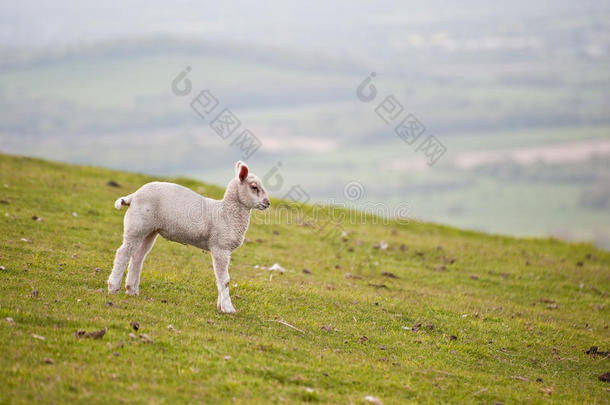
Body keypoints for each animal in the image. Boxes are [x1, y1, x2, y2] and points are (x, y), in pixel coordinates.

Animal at [106, 160, 268, 312]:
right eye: (254, 187)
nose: (268, 203)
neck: (225, 212)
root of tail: (133, 196)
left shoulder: (221, 250)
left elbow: (219, 278)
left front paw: (220, 306)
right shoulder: (220, 247)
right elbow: (225, 280)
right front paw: (228, 308)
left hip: (150, 230)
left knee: (138, 257)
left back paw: (132, 290)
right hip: (137, 225)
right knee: (123, 253)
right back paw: (113, 287)